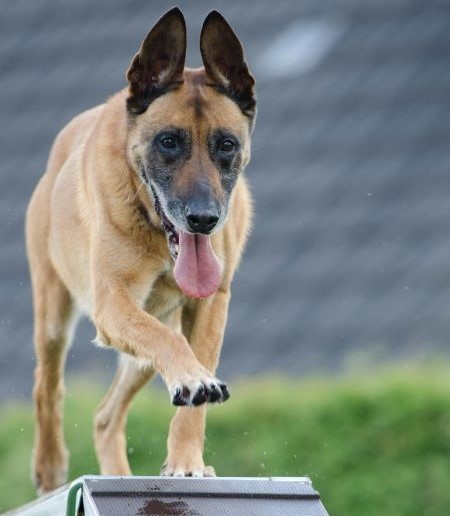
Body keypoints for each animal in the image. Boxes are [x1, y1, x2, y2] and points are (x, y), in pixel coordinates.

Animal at [25, 7, 256, 492]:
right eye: (168, 141)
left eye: (226, 144)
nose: (203, 219)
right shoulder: (113, 303)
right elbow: (174, 348)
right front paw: (193, 381)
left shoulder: (210, 307)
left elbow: (194, 393)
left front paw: (186, 461)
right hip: (55, 316)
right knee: (47, 385)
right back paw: (51, 466)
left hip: (143, 352)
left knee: (105, 416)